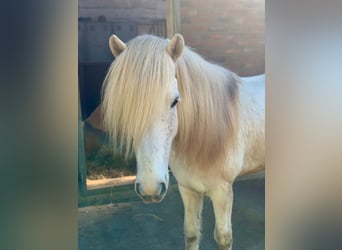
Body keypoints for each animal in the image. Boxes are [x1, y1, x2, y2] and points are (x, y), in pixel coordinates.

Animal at [101, 33, 264, 250]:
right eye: (126, 106)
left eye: (175, 101)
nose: (150, 189)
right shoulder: (188, 189)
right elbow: (191, 233)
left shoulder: (223, 192)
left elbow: (223, 237)